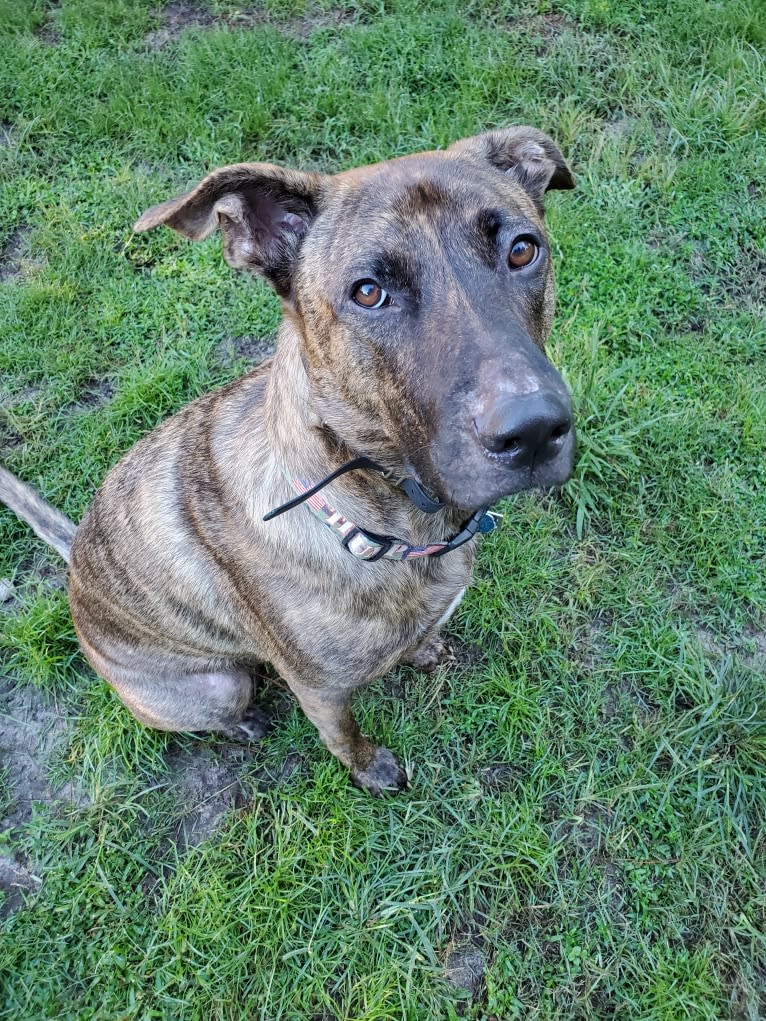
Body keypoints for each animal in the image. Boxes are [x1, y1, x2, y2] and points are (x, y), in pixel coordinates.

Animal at [0, 127, 576, 792]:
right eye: (368, 292)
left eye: (522, 251)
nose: (533, 431)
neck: (389, 523)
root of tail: (74, 563)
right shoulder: (320, 690)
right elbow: (343, 735)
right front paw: (371, 768)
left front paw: (422, 648)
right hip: (220, 683)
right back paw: (242, 725)